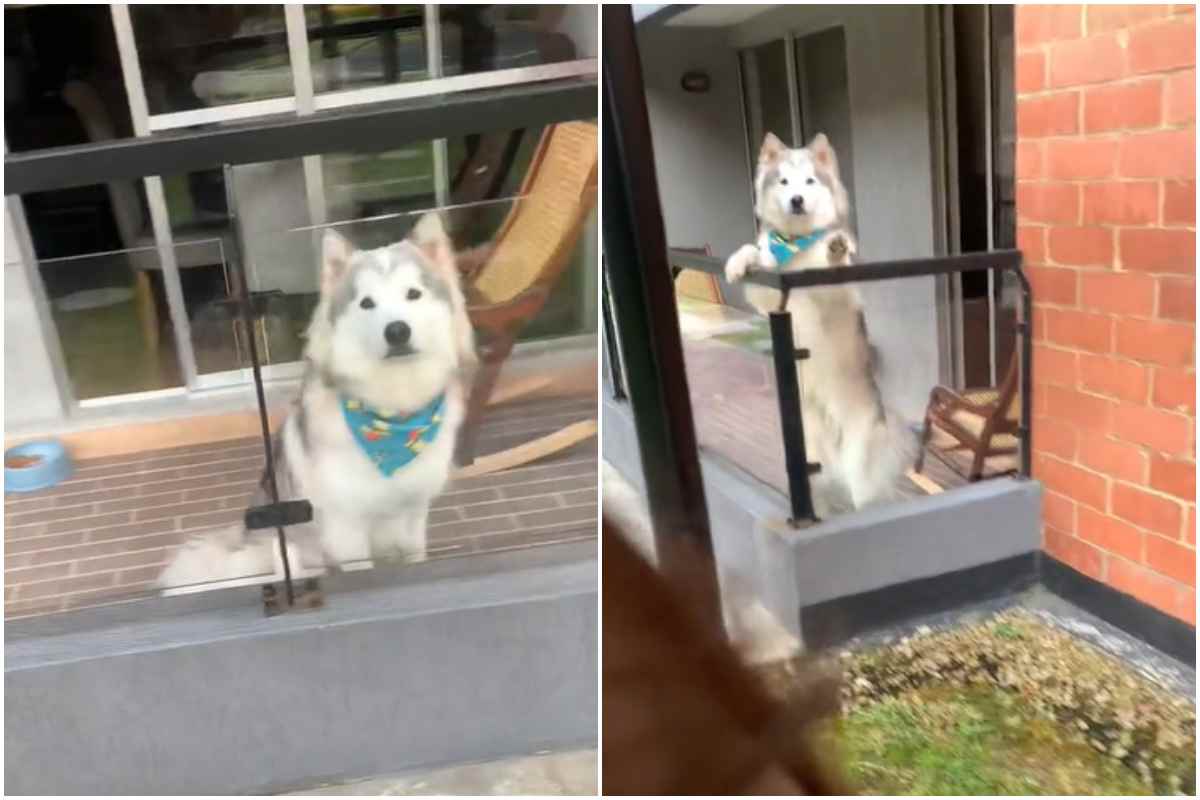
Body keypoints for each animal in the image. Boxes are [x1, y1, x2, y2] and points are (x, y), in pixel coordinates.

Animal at [720, 133, 916, 513]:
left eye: (810, 181)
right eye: (784, 182)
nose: (796, 200)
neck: (795, 247)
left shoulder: (836, 296)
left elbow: (833, 268)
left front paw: (835, 249)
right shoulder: (768, 295)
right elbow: (754, 255)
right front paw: (739, 261)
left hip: (860, 463)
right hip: (812, 462)